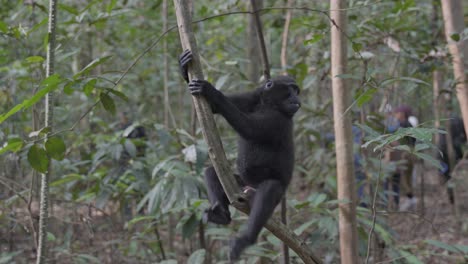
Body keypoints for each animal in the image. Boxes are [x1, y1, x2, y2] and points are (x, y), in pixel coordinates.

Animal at [179, 49, 300, 260]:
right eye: (291, 89)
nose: (297, 99)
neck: (268, 104)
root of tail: (248, 190)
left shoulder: (277, 121)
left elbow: (249, 128)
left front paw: (212, 91)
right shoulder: (251, 98)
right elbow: (213, 108)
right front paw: (184, 67)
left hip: (264, 193)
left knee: (270, 189)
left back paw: (245, 240)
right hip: (239, 185)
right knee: (212, 172)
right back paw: (221, 215)